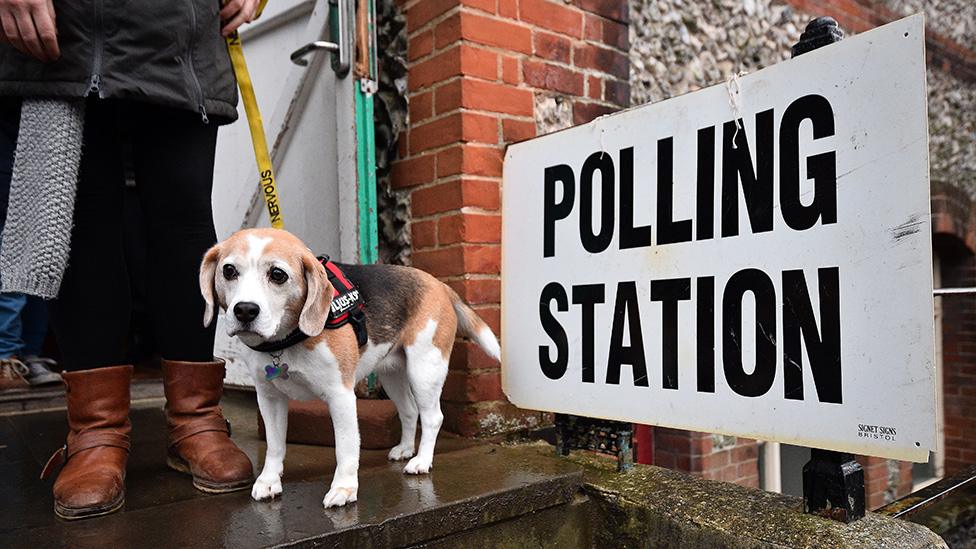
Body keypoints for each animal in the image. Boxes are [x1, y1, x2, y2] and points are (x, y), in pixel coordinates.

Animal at [200, 227, 504, 506]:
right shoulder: (269, 397)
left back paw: (421, 461)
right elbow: (274, 445)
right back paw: (406, 449)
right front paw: (269, 481)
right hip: (392, 374)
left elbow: (345, 447)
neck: (287, 340)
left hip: (425, 369)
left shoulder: (341, 395)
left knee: (432, 417)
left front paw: (344, 489)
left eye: (278, 275)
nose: (245, 310)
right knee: (409, 411)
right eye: (229, 271)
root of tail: (438, 284)